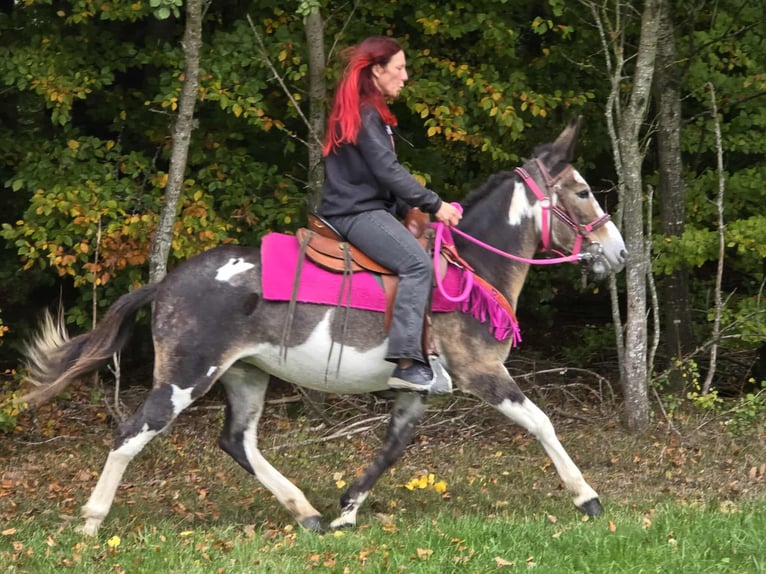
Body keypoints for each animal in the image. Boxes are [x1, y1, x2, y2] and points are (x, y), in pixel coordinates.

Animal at [19, 119, 626, 536]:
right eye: (582, 191)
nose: (619, 254)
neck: (470, 268)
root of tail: (165, 284)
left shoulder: (417, 389)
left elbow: (392, 448)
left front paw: (346, 510)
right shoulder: (481, 372)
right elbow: (542, 423)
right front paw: (586, 497)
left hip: (245, 375)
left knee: (237, 441)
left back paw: (305, 512)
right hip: (186, 376)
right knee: (131, 433)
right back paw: (92, 520)